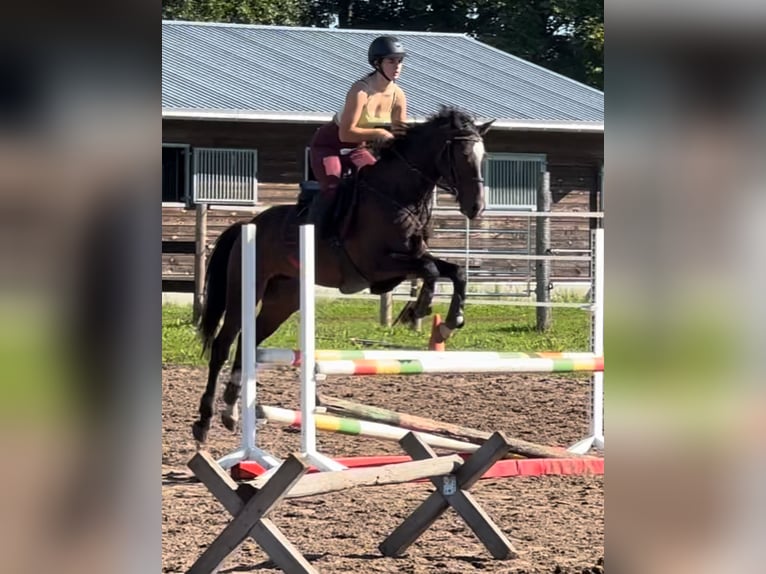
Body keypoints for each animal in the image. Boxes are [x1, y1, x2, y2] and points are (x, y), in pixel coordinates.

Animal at [189, 106, 496, 444]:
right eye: (462, 155)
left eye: (483, 156)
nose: (476, 208)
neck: (397, 196)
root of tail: (247, 224)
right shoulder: (378, 267)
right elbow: (430, 271)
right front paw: (419, 309)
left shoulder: (409, 261)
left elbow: (456, 272)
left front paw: (450, 322)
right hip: (245, 289)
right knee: (223, 344)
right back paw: (204, 422)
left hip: (282, 301)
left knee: (248, 340)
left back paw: (230, 412)